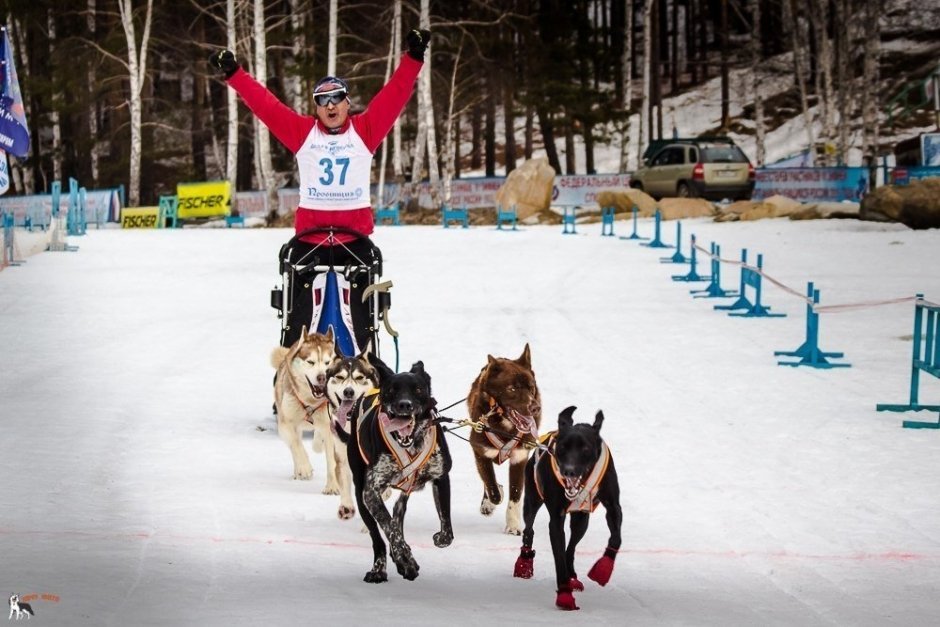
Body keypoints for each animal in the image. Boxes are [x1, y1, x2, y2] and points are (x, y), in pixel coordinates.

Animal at [270, 326, 340, 488]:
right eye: (310, 362)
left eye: (327, 362)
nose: (322, 377)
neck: (310, 403)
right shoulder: (285, 424)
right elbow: (296, 445)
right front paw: (304, 468)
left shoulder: (329, 424)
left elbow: (331, 461)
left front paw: (332, 487)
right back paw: (298, 471)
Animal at [326, 344, 378, 520]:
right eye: (340, 377)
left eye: (360, 377)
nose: (348, 392)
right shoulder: (343, 454)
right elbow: (344, 475)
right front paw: (347, 505)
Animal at [346, 358, 456, 584]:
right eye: (392, 390)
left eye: (418, 389)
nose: (405, 404)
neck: (411, 445)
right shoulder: (371, 492)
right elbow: (390, 529)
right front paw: (404, 556)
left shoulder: (441, 477)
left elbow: (446, 528)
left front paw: (439, 538)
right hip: (361, 496)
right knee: (379, 537)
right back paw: (382, 568)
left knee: (398, 511)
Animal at [466, 344, 540, 536]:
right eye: (512, 388)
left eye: (531, 387)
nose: (535, 407)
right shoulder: (480, 452)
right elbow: (491, 486)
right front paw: (493, 499)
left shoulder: (519, 458)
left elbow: (516, 494)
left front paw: (513, 525)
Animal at [510, 404, 620, 612]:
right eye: (562, 447)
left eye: (585, 448)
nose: (568, 470)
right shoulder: (556, 520)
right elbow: (558, 557)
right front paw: (564, 594)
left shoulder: (613, 507)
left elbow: (616, 538)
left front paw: (603, 569)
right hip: (532, 501)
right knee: (529, 529)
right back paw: (525, 562)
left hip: (581, 519)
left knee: (572, 546)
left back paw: (573, 575)